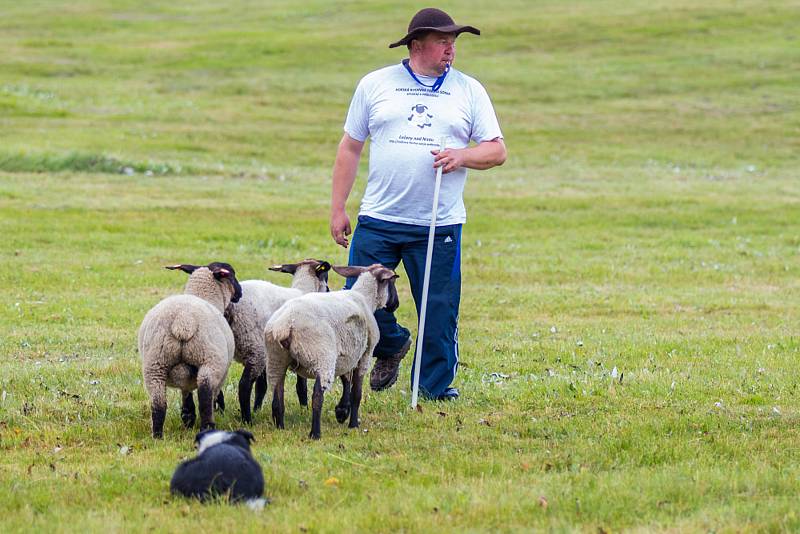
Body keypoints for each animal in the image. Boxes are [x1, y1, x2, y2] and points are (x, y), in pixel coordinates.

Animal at [138, 262, 241, 440]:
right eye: (232, 274)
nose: (240, 293)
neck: (204, 295)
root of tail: (184, 320)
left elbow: (186, 392)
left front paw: (187, 418)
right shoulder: (222, 372)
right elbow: (213, 396)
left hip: (155, 365)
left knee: (158, 404)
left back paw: (157, 436)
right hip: (209, 361)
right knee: (205, 398)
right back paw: (207, 428)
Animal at [227, 258, 332, 426]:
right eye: (326, 276)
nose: (329, 291)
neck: (303, 290)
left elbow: (262, 386)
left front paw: (257, 409)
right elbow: (301, 386)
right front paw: (304, 409)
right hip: (254, 347)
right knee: (244, 385)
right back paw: (247, 420)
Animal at [264, 264, 398, 440]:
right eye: (393, 282)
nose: (396, 304)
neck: (365, 299)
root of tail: (285, 325)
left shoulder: (346, 355)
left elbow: (346, 380)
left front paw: (342, 412)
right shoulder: (364, 355)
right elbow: (357, 392)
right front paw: (353, 424)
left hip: (275, 358)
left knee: (277, 394)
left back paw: (281, 427)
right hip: (321, 356)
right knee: (317, 396)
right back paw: (315, 433)